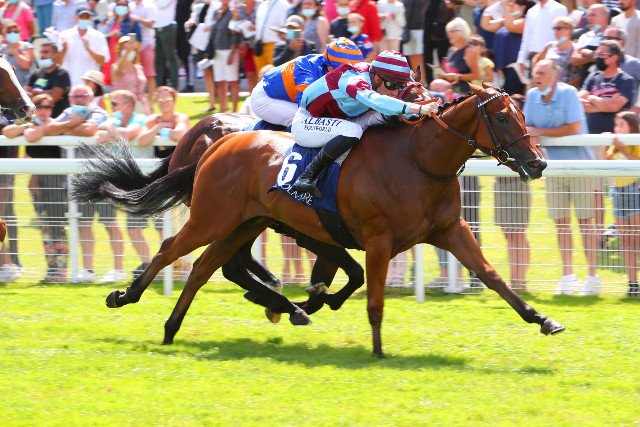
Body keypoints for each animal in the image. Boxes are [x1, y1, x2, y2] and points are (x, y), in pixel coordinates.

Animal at [82, 82, 566, 357]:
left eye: (523, 114)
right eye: (501, 117)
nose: (537, 163)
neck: (418, 159)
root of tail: (215, 143)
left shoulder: (449, 230)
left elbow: (492, 276)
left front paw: (542, 319)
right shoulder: (375, 238)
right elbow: (371, 296)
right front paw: (376, 348)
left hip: (244, 223)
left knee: (206, 267)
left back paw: (176, 327)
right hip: (213, 218)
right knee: (172, 251)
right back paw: (126, 297)